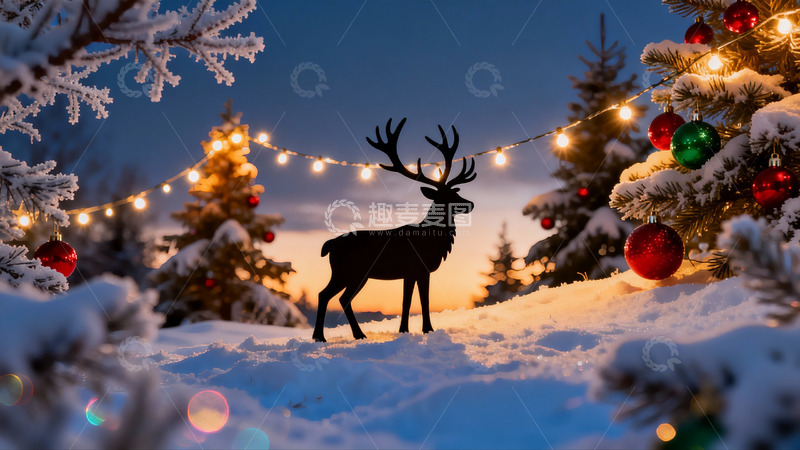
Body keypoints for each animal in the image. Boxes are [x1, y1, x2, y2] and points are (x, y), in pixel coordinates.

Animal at [313, 118, 476, 342]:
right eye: (445, 196)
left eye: (456, 192)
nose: (471, 204)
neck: (431, 241)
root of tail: (329, 245)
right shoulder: (416, 268)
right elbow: (415, 301)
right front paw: (425, 330)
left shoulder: (415, 272)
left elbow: (412, 300)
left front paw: (409, 330)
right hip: (350, 271)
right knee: (335, 296)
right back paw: (336, 335)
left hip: (347, 273)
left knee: (331, 296)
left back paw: (334, 335)